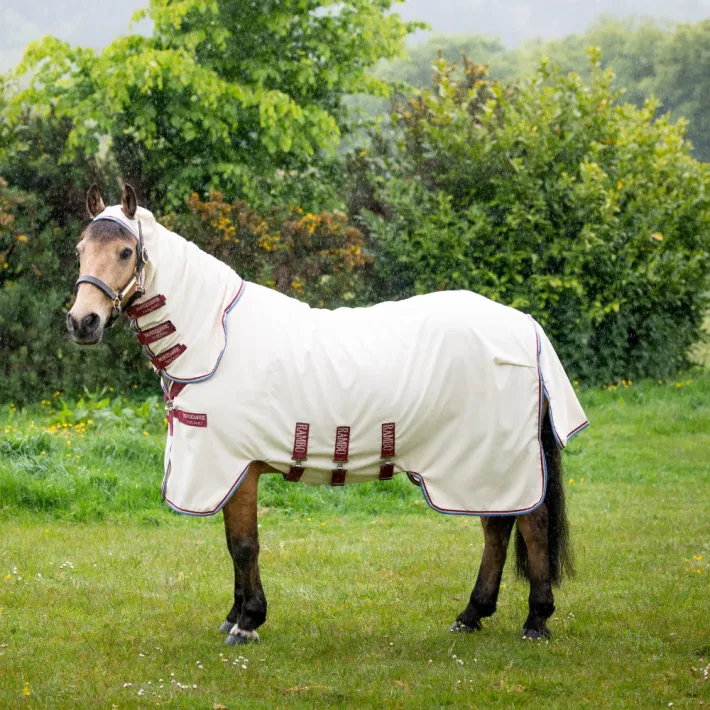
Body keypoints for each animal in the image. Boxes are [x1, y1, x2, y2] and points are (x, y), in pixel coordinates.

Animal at [67, 183, 588, 645]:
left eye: (126, 252)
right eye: (80, 250)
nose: (82, 322)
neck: (216, 339)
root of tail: (525, 325)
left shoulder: (237, 466)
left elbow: (244, 544)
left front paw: (248, 622)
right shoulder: (228, 470)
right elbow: (233, 545)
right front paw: (235, 613)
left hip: (497, 457)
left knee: (531, 524)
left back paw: (536, 620)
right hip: (479, 463)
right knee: (497, 527)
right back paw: (472, 615)